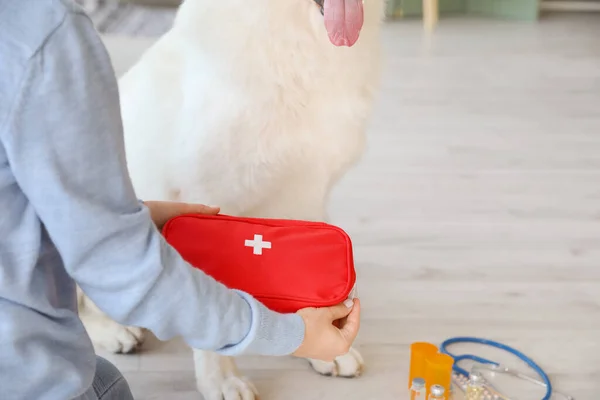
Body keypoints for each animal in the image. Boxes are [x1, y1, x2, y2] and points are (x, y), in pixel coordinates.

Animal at [78, 0, 384, 398]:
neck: (293, 41)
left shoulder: (308, 190)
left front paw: (323, 347)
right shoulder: (209, 201)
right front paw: (220, 379)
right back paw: (115, 332)